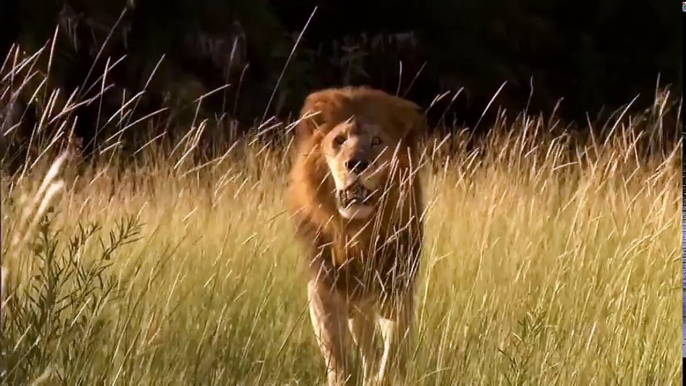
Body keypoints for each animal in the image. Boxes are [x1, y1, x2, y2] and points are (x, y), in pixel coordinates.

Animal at [288, 87, 428, 386]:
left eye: (376, 141)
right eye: (339, 141)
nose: (357, 164)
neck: (357, 233)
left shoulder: (397, 287)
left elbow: (394, 351)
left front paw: (383, 379)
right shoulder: (324, 287)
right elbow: (339, 357)